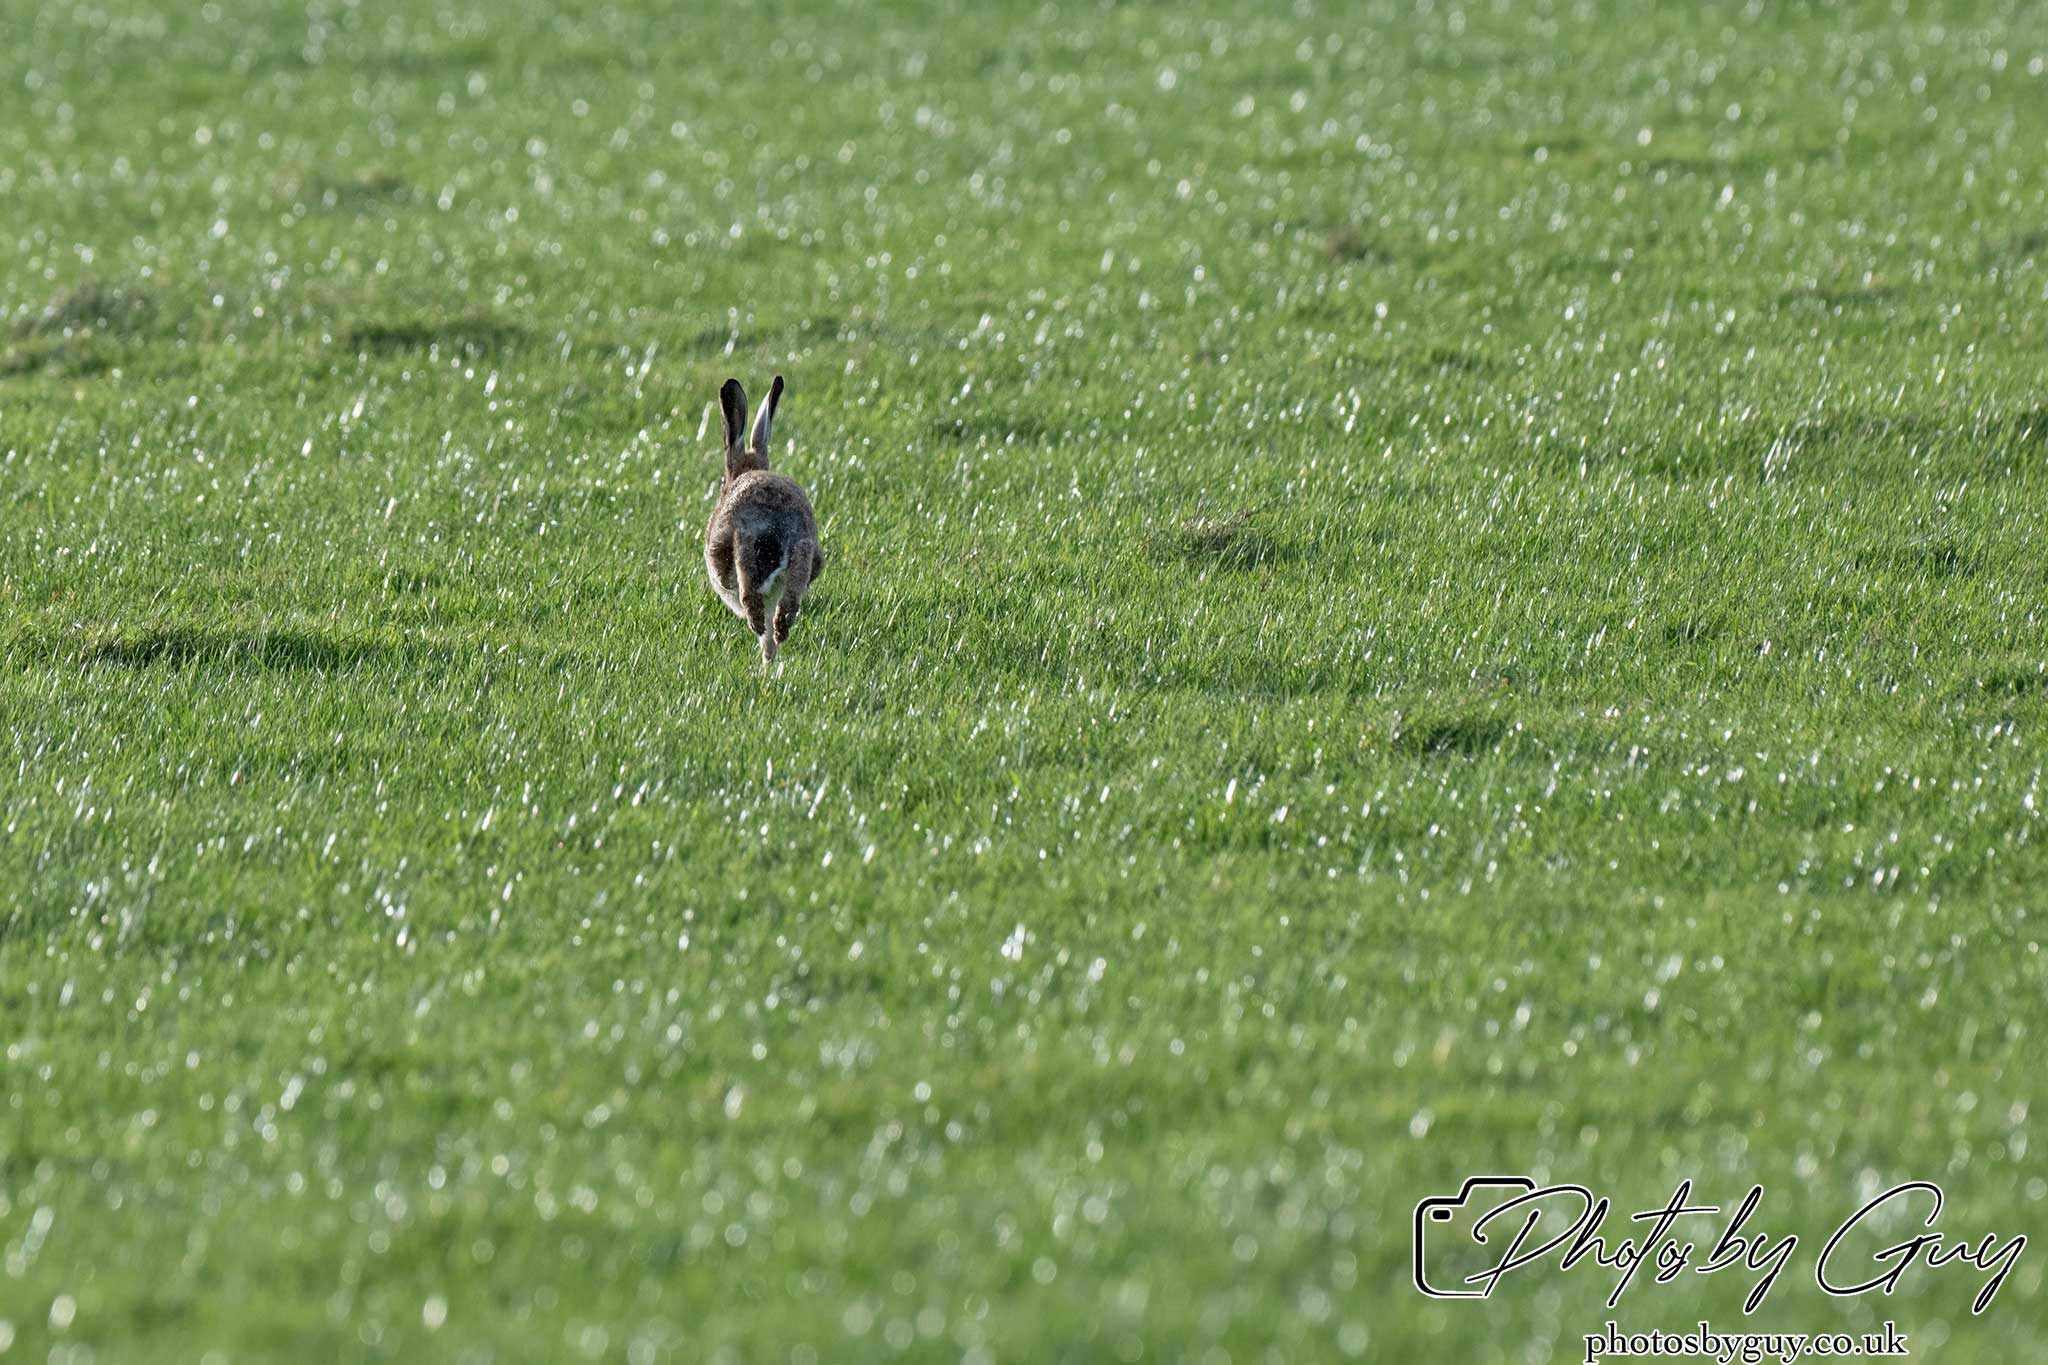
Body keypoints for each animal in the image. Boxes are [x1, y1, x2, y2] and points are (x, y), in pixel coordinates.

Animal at [703, 374, 824, 669]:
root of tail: (776, 524)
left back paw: (758, 628)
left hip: (737, 540)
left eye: (722, 481)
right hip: (805, 545)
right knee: (789, 598)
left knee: (747, 588)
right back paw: (779, 636)